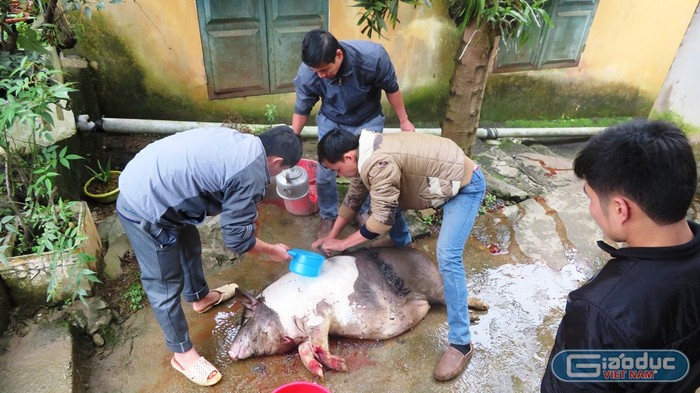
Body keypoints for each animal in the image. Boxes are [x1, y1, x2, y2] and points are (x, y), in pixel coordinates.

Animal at [228, 247, 486, 378]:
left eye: (246, 318)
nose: (229, 352)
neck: (285, 311)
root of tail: (425, 256)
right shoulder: (305, 333)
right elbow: (305, 350)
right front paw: (320, 374)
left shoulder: (319, 315)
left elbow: (319, 345)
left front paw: (343, 367)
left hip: (431, 283)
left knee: (450, 298)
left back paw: (480, 310)